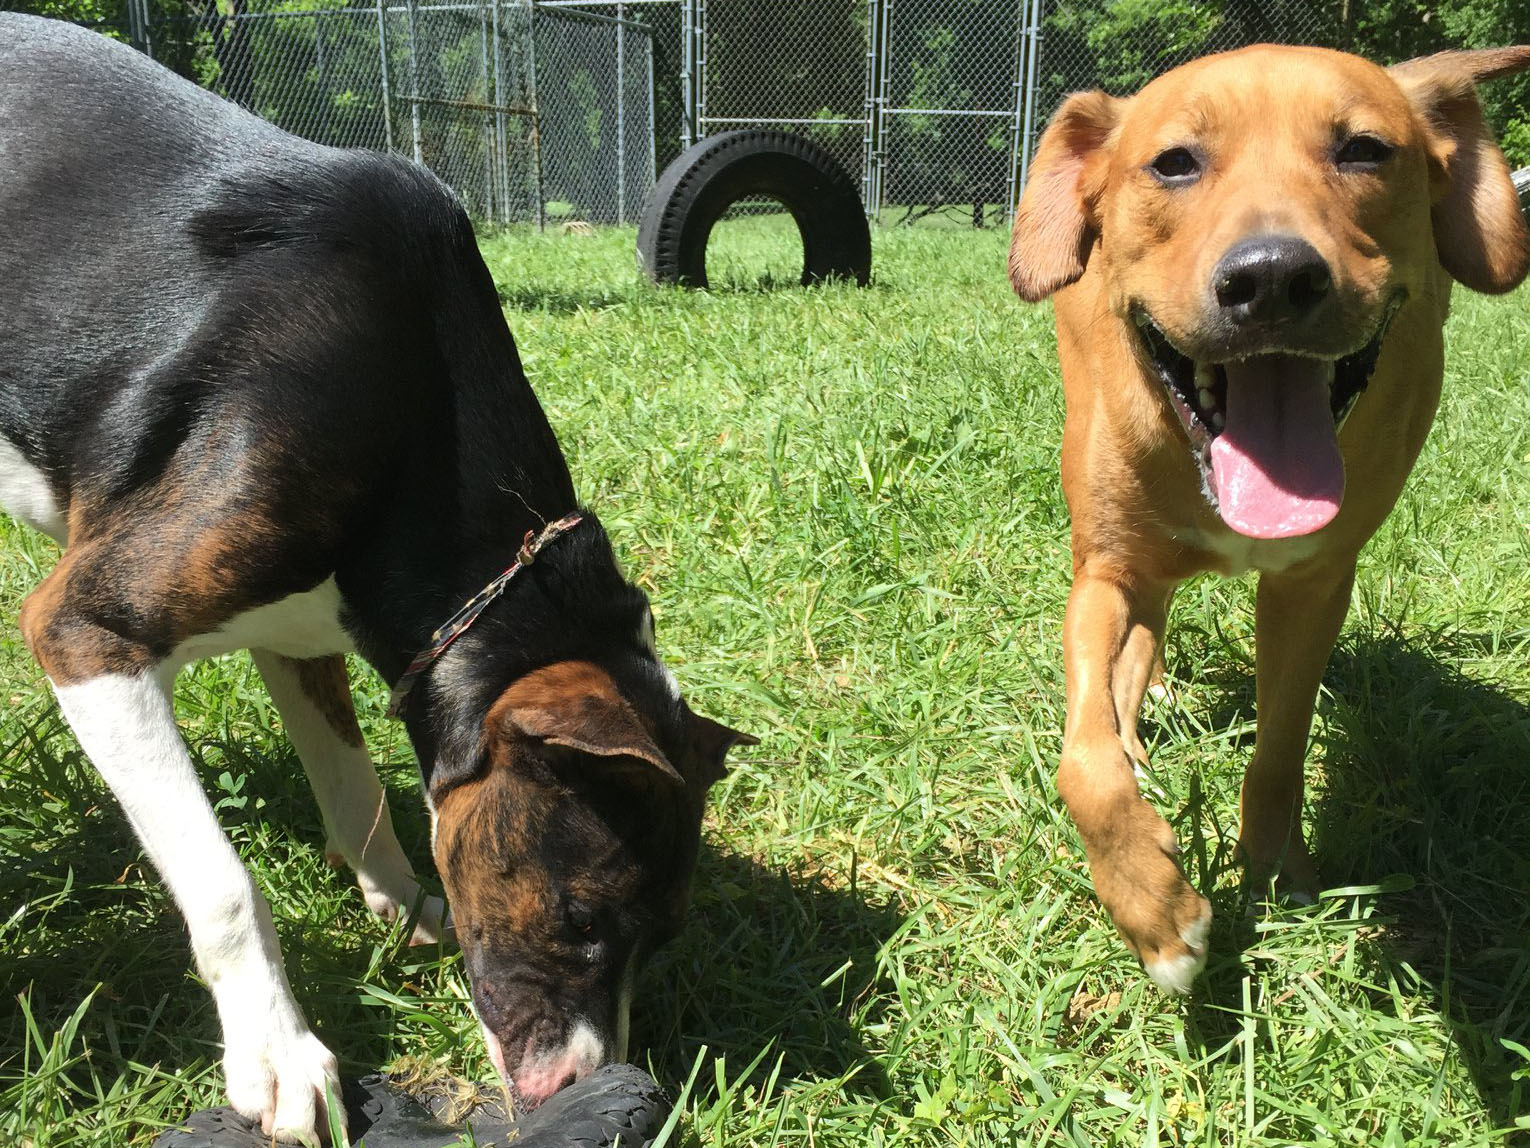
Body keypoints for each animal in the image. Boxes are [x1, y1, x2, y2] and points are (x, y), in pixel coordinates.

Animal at [0, 15, 749, 1144]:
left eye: (660, 937)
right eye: (579, 914)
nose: (586, 1079)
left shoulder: (299, 634)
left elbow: (353, 787)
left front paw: (402, 901)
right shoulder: (86, 631)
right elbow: (225, 884)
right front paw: (276, 1051)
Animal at [1009, 44, 1523, 991]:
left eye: (1365, 149)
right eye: (1174, 162)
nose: (1274, 277)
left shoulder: (1312, 586)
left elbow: (1281, 746)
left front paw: (1278, 873)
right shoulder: (1103, 570)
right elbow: (1084, 761)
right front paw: (1156, 914)